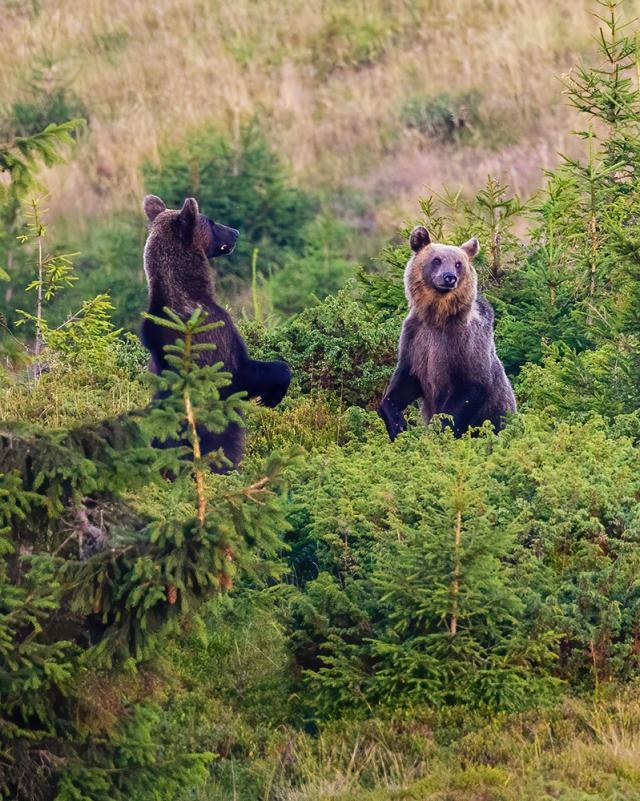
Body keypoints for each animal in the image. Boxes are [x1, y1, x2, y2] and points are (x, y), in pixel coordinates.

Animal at [378, 223, 516, 438]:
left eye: (459, 263)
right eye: (436, 260)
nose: (449, 277)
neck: (437, 317)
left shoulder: (464, 345)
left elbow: (469, 390)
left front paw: (439, 430)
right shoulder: (415, 340)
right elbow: (403, 384)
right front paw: (397, 424)